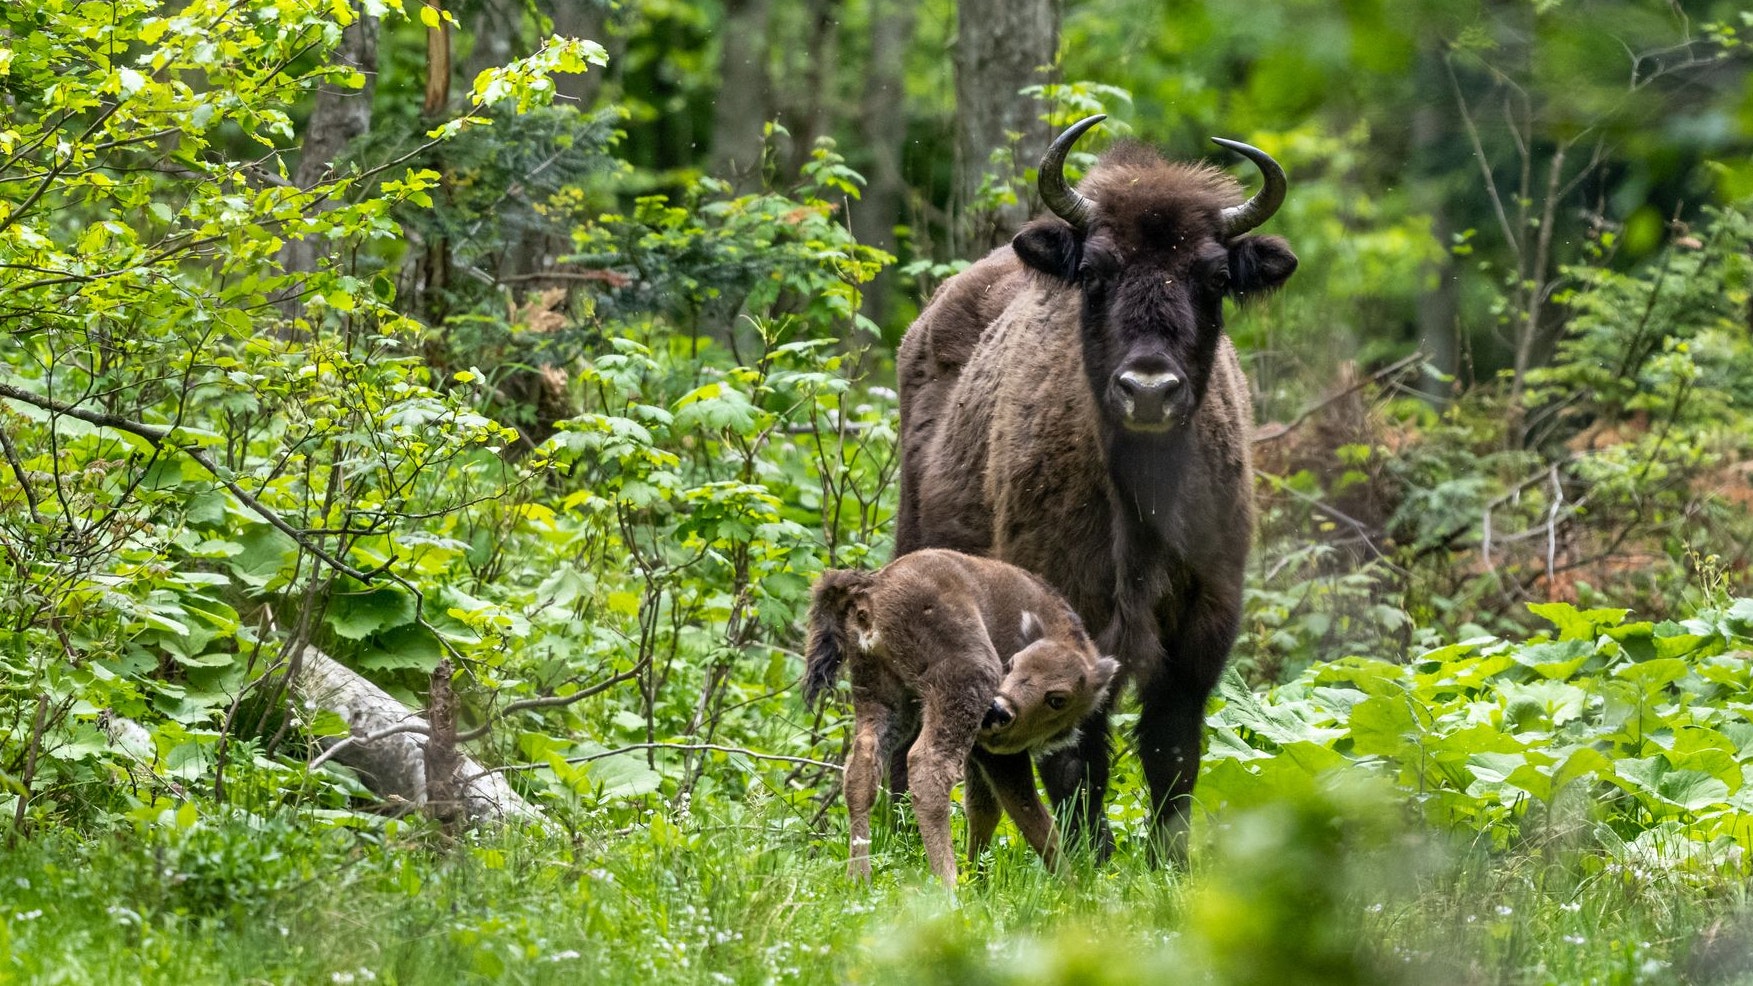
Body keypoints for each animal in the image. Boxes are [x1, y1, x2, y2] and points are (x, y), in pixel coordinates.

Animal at [894, 115, 1297, 859]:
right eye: (1093, 270)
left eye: (1215, 274)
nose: (1149, 388)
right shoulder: (1068, 609)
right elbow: (1074, 748)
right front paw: (1089, 854)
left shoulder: (1205, 621)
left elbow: (1172, 747)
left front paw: (1167, 858)